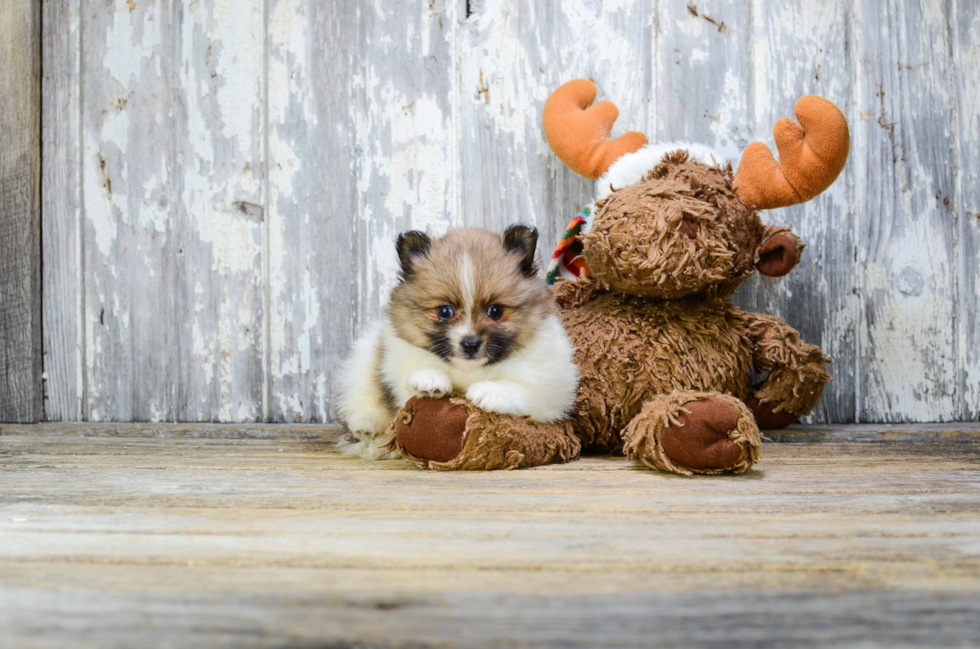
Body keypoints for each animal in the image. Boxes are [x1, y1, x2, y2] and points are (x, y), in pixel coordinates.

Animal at [338, 225, 580, 458]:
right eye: (445, 311)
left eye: (495, 310)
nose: (470, 343)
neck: (469, 370)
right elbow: (415, 375)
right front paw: (430, 380)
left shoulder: (553, 389)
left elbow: (522, 391)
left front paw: (488, 391)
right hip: (364, 358)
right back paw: (366, 427)